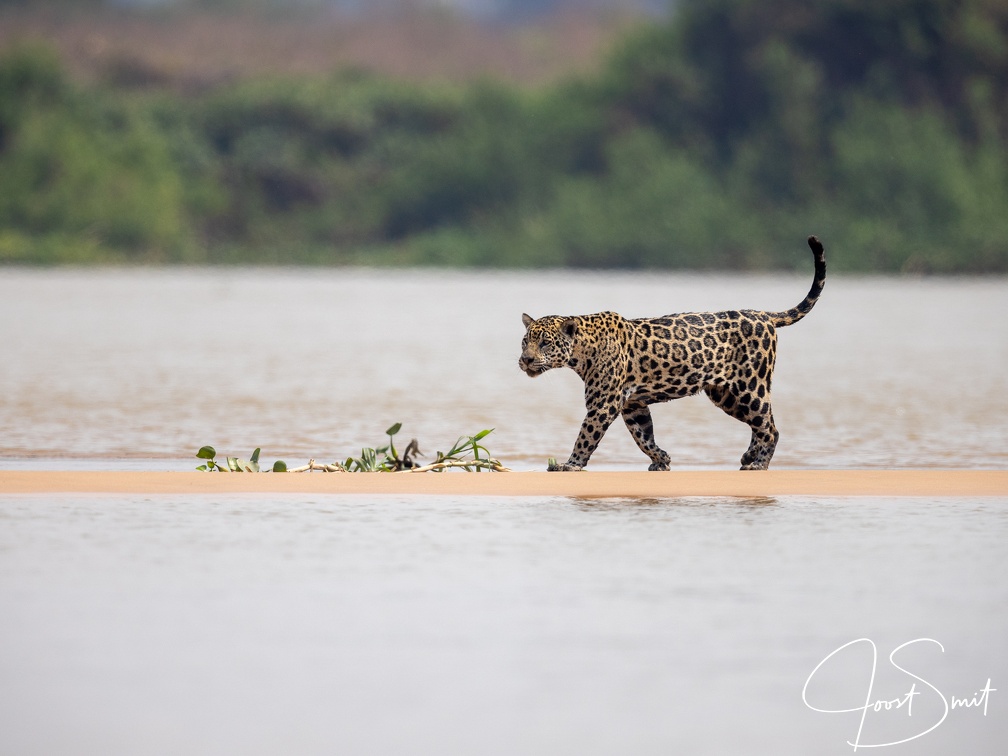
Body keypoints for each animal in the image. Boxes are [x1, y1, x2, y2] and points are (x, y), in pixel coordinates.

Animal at [519, 235, 826, 471]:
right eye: (525, 342)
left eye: (545, 343)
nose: (526, 360)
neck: (582, 350)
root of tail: (762, 314)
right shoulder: (633, 405)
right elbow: (643, 436)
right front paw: (661, 460)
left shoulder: (603, 404)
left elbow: (585, 436)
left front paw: (570, 464)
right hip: (726, 394)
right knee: (760, 423)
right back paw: (748, 456)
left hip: (751, 386)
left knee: (770, 427)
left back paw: (758, 463)